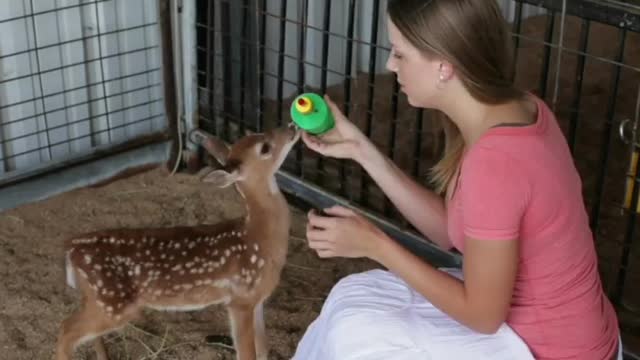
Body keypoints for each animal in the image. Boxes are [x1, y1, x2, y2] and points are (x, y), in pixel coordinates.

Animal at [56, 126, 302, 360]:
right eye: (265, 147)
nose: (292, 126)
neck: (258, 237)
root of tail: (71, 249)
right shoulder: (240, 299)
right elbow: (247, 353)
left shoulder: (257, 298)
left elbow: (263, 349)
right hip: (112, 302)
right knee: (66, 330)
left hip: (99, 300)